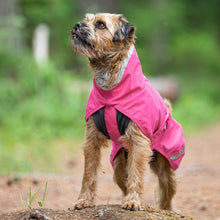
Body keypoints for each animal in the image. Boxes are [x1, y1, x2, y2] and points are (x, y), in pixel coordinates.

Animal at [69, 12, 185, 211]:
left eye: (100, 25)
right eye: (87, 19)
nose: (77, 25)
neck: (110, 90)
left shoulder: (138, 142)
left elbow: (136, 174)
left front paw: (133, 201)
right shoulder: (92, 140)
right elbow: (88, 174)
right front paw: (83, 200)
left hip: (165, 163)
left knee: (167, 188)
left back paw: (166, 209)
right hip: (118, 161)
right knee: (122, 178)